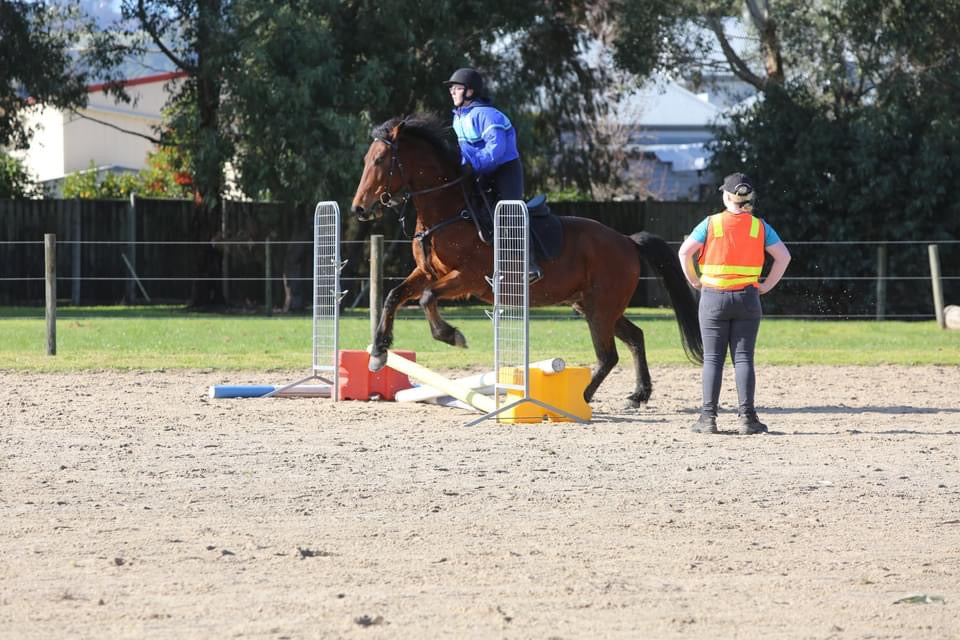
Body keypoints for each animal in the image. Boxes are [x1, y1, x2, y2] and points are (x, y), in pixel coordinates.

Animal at [348, 114, 700, 404]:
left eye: (380, 159)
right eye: (365, 159)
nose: (359, 208)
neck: (449, 212)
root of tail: (626, 240)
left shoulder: (466, 279)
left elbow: (426, 298)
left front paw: (451, 336)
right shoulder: (427, 272)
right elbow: (395, 296)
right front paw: (379, 353)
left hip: (601, 308)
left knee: (608, 355)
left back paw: (582, 398)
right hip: (592, 305)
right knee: (634, 337)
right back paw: (638, 394)